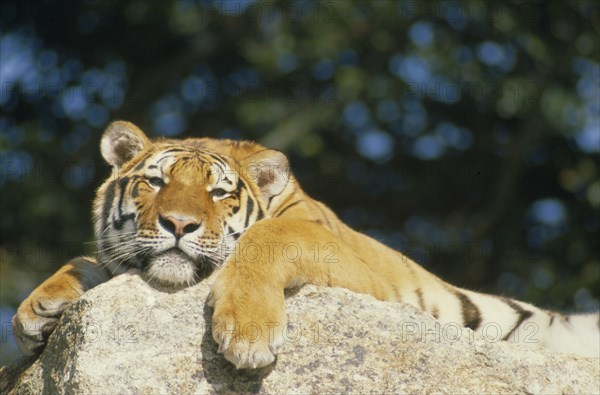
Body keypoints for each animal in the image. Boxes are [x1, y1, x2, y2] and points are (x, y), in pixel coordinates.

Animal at [10, 121, 600, 372]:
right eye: (155, 183)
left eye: (218, 193)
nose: (179, 224)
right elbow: (91, 262)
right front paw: (39, 307)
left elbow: (267, 239)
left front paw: (247, 334)